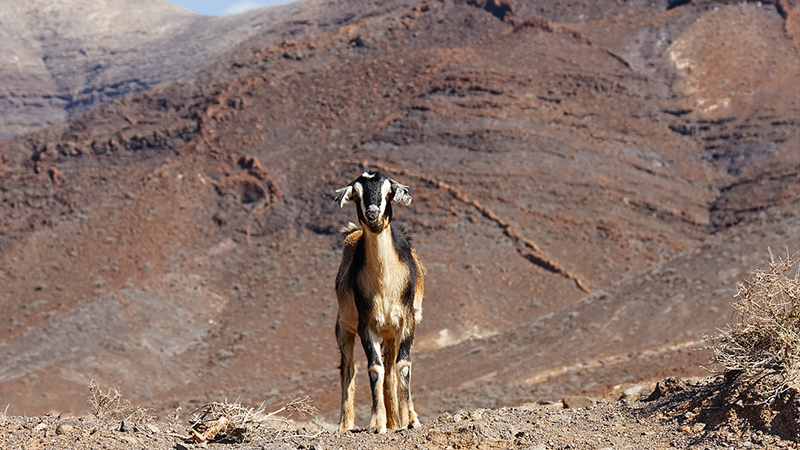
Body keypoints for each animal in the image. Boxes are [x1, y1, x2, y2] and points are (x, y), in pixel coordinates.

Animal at [334, 170, 428, 432]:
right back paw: (345, 424)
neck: (385, 284)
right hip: (343, 327)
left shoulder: (406, 321)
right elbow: (374, 368)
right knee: (348, 368)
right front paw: (376, 423)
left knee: (390, 371)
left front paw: (411, 420)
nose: (373, 214)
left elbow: (402, 366)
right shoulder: (366, 326)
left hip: (390, 333)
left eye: (388, 192)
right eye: (357, 195)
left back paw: (395, 420)